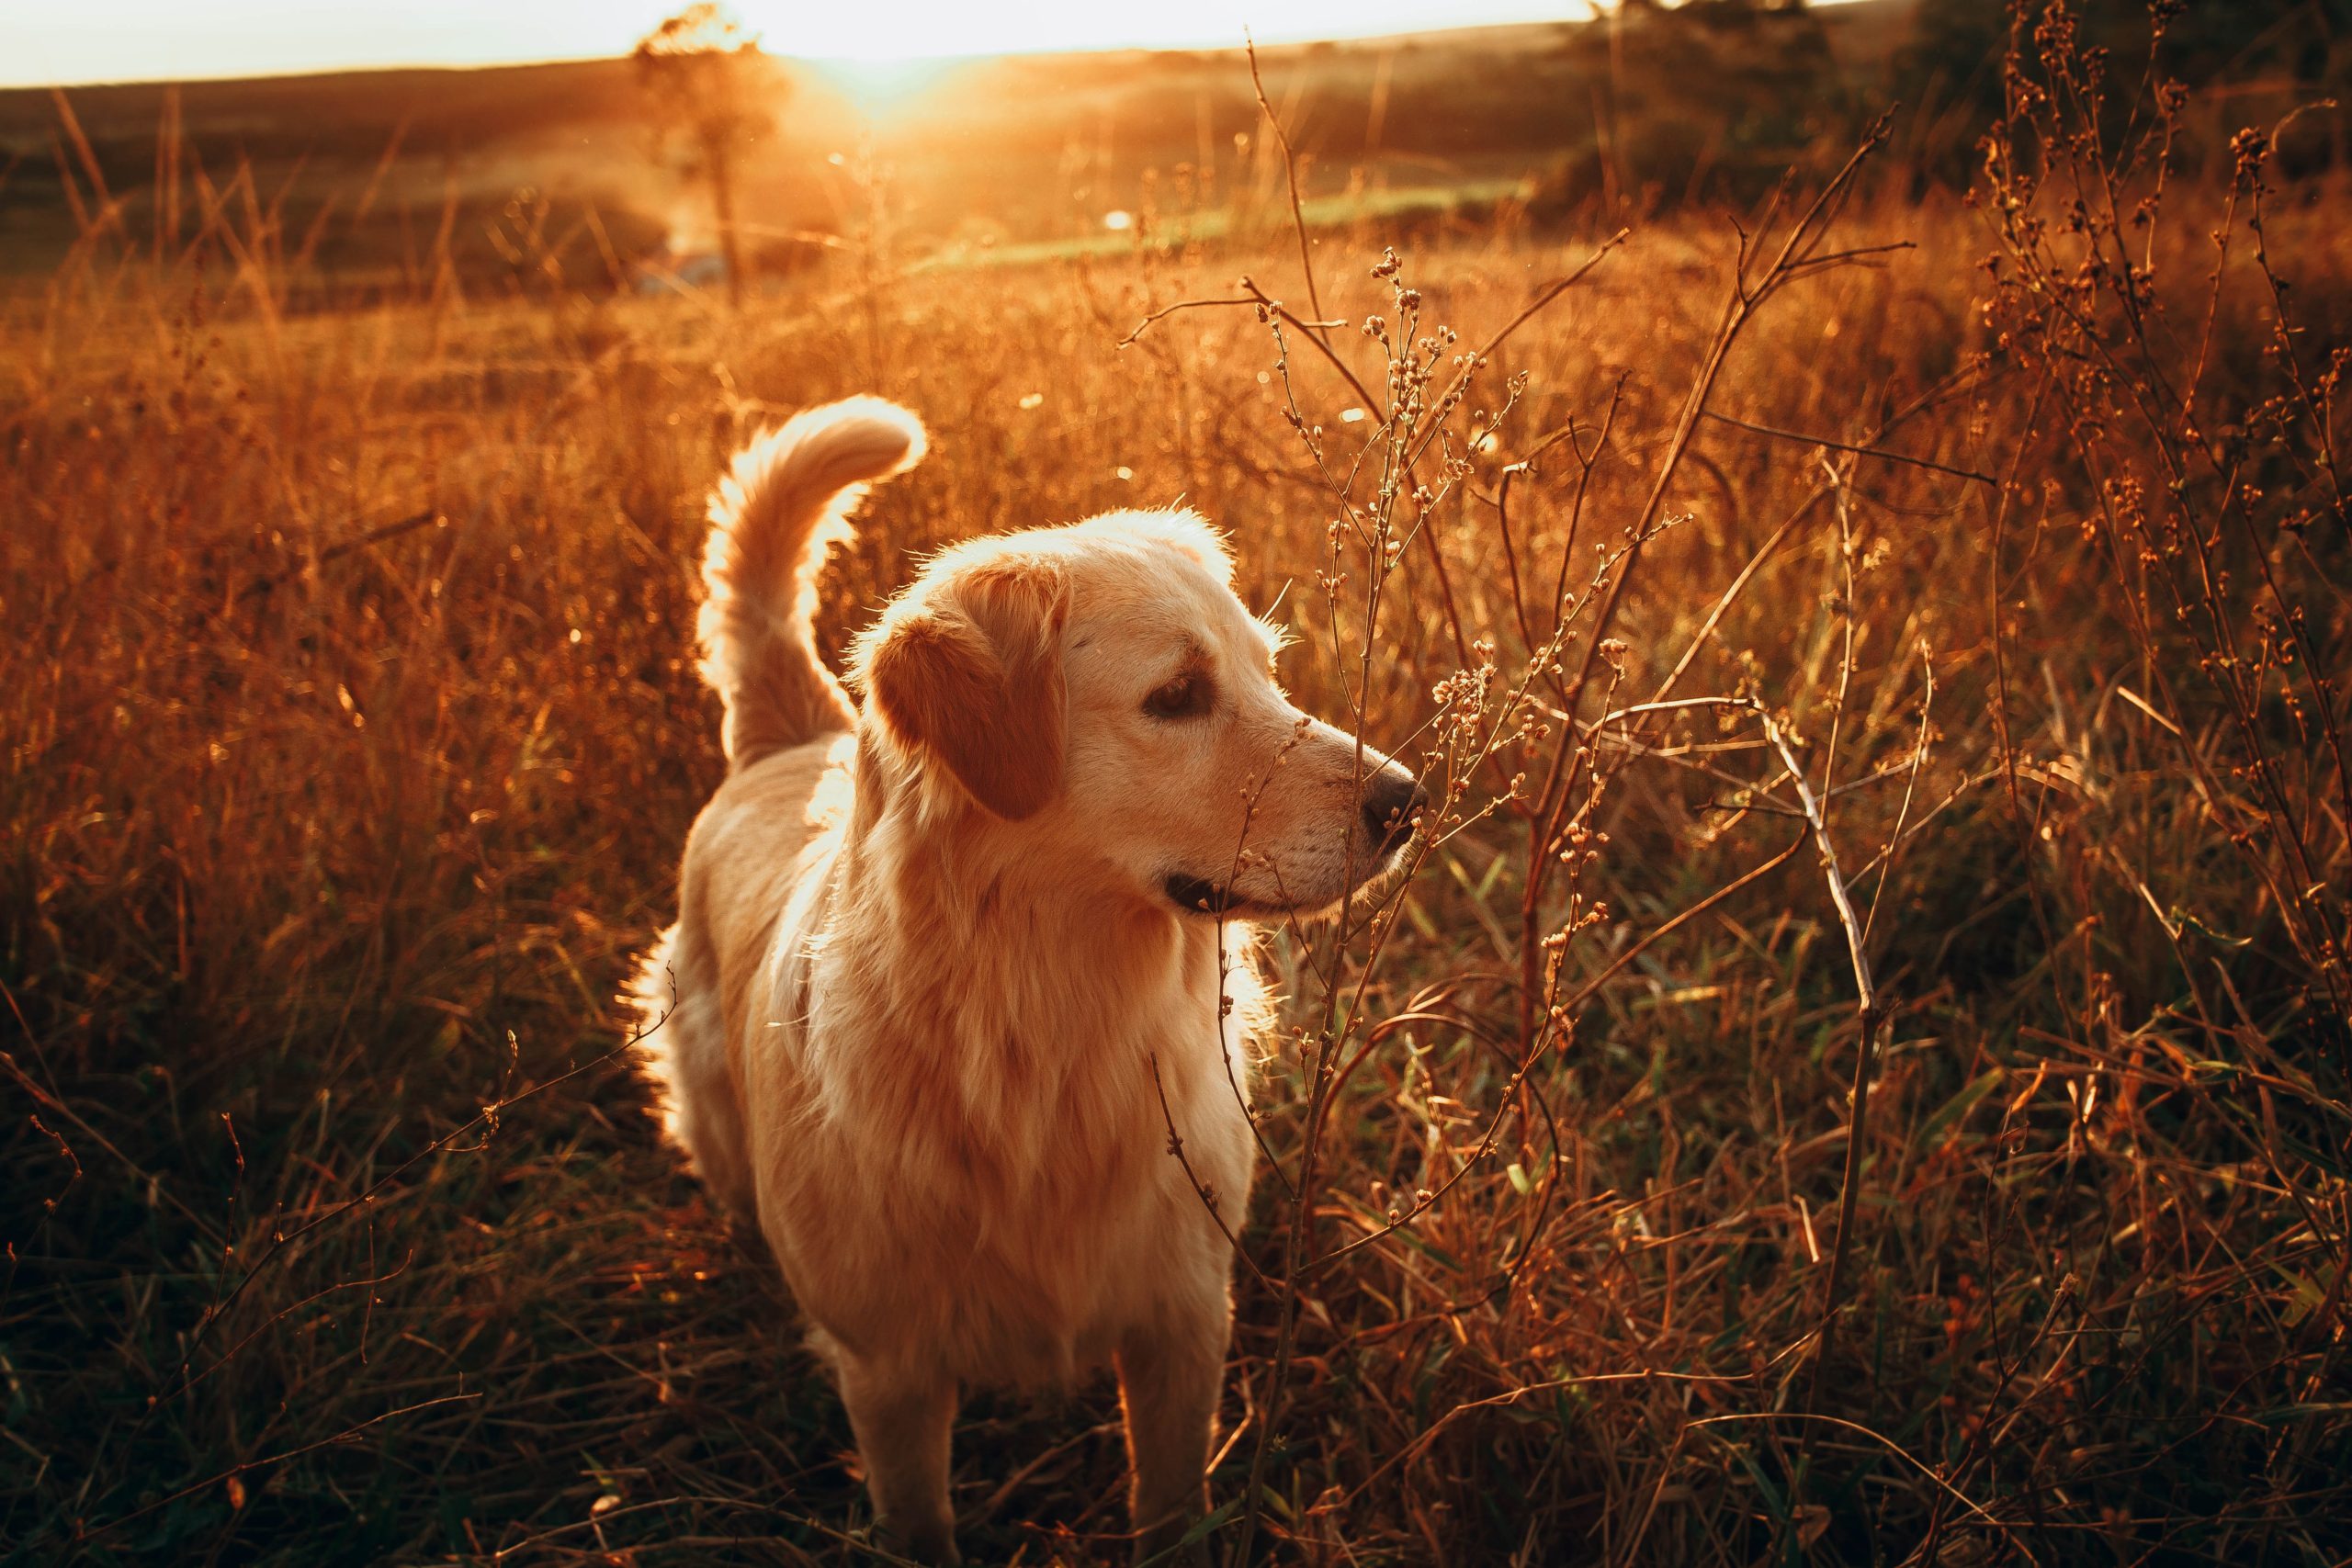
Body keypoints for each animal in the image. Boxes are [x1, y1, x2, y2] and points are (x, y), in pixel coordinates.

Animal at [625, 400, 1420, 1561]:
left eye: (1268, 671)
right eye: (1176, 696)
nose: (1408, 800)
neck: (1045, 1035)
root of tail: (791, 740)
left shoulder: (1184, 1320)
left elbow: (1168, 1504)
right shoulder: (891, 1375)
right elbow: (919, 1523)